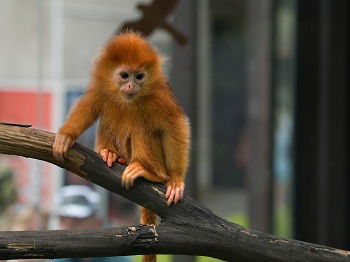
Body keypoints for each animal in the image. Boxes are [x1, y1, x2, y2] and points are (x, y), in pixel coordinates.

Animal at [52, 31, 190, 260]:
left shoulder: (160, 94)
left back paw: (149, 171)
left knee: (142, 128)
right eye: (125, 75)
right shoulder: (100, 87)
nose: (131, 85)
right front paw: (66, 136)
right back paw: (110, 153)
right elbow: (88, 106)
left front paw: (176, 180)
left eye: (139, 76)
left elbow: (175, 125)